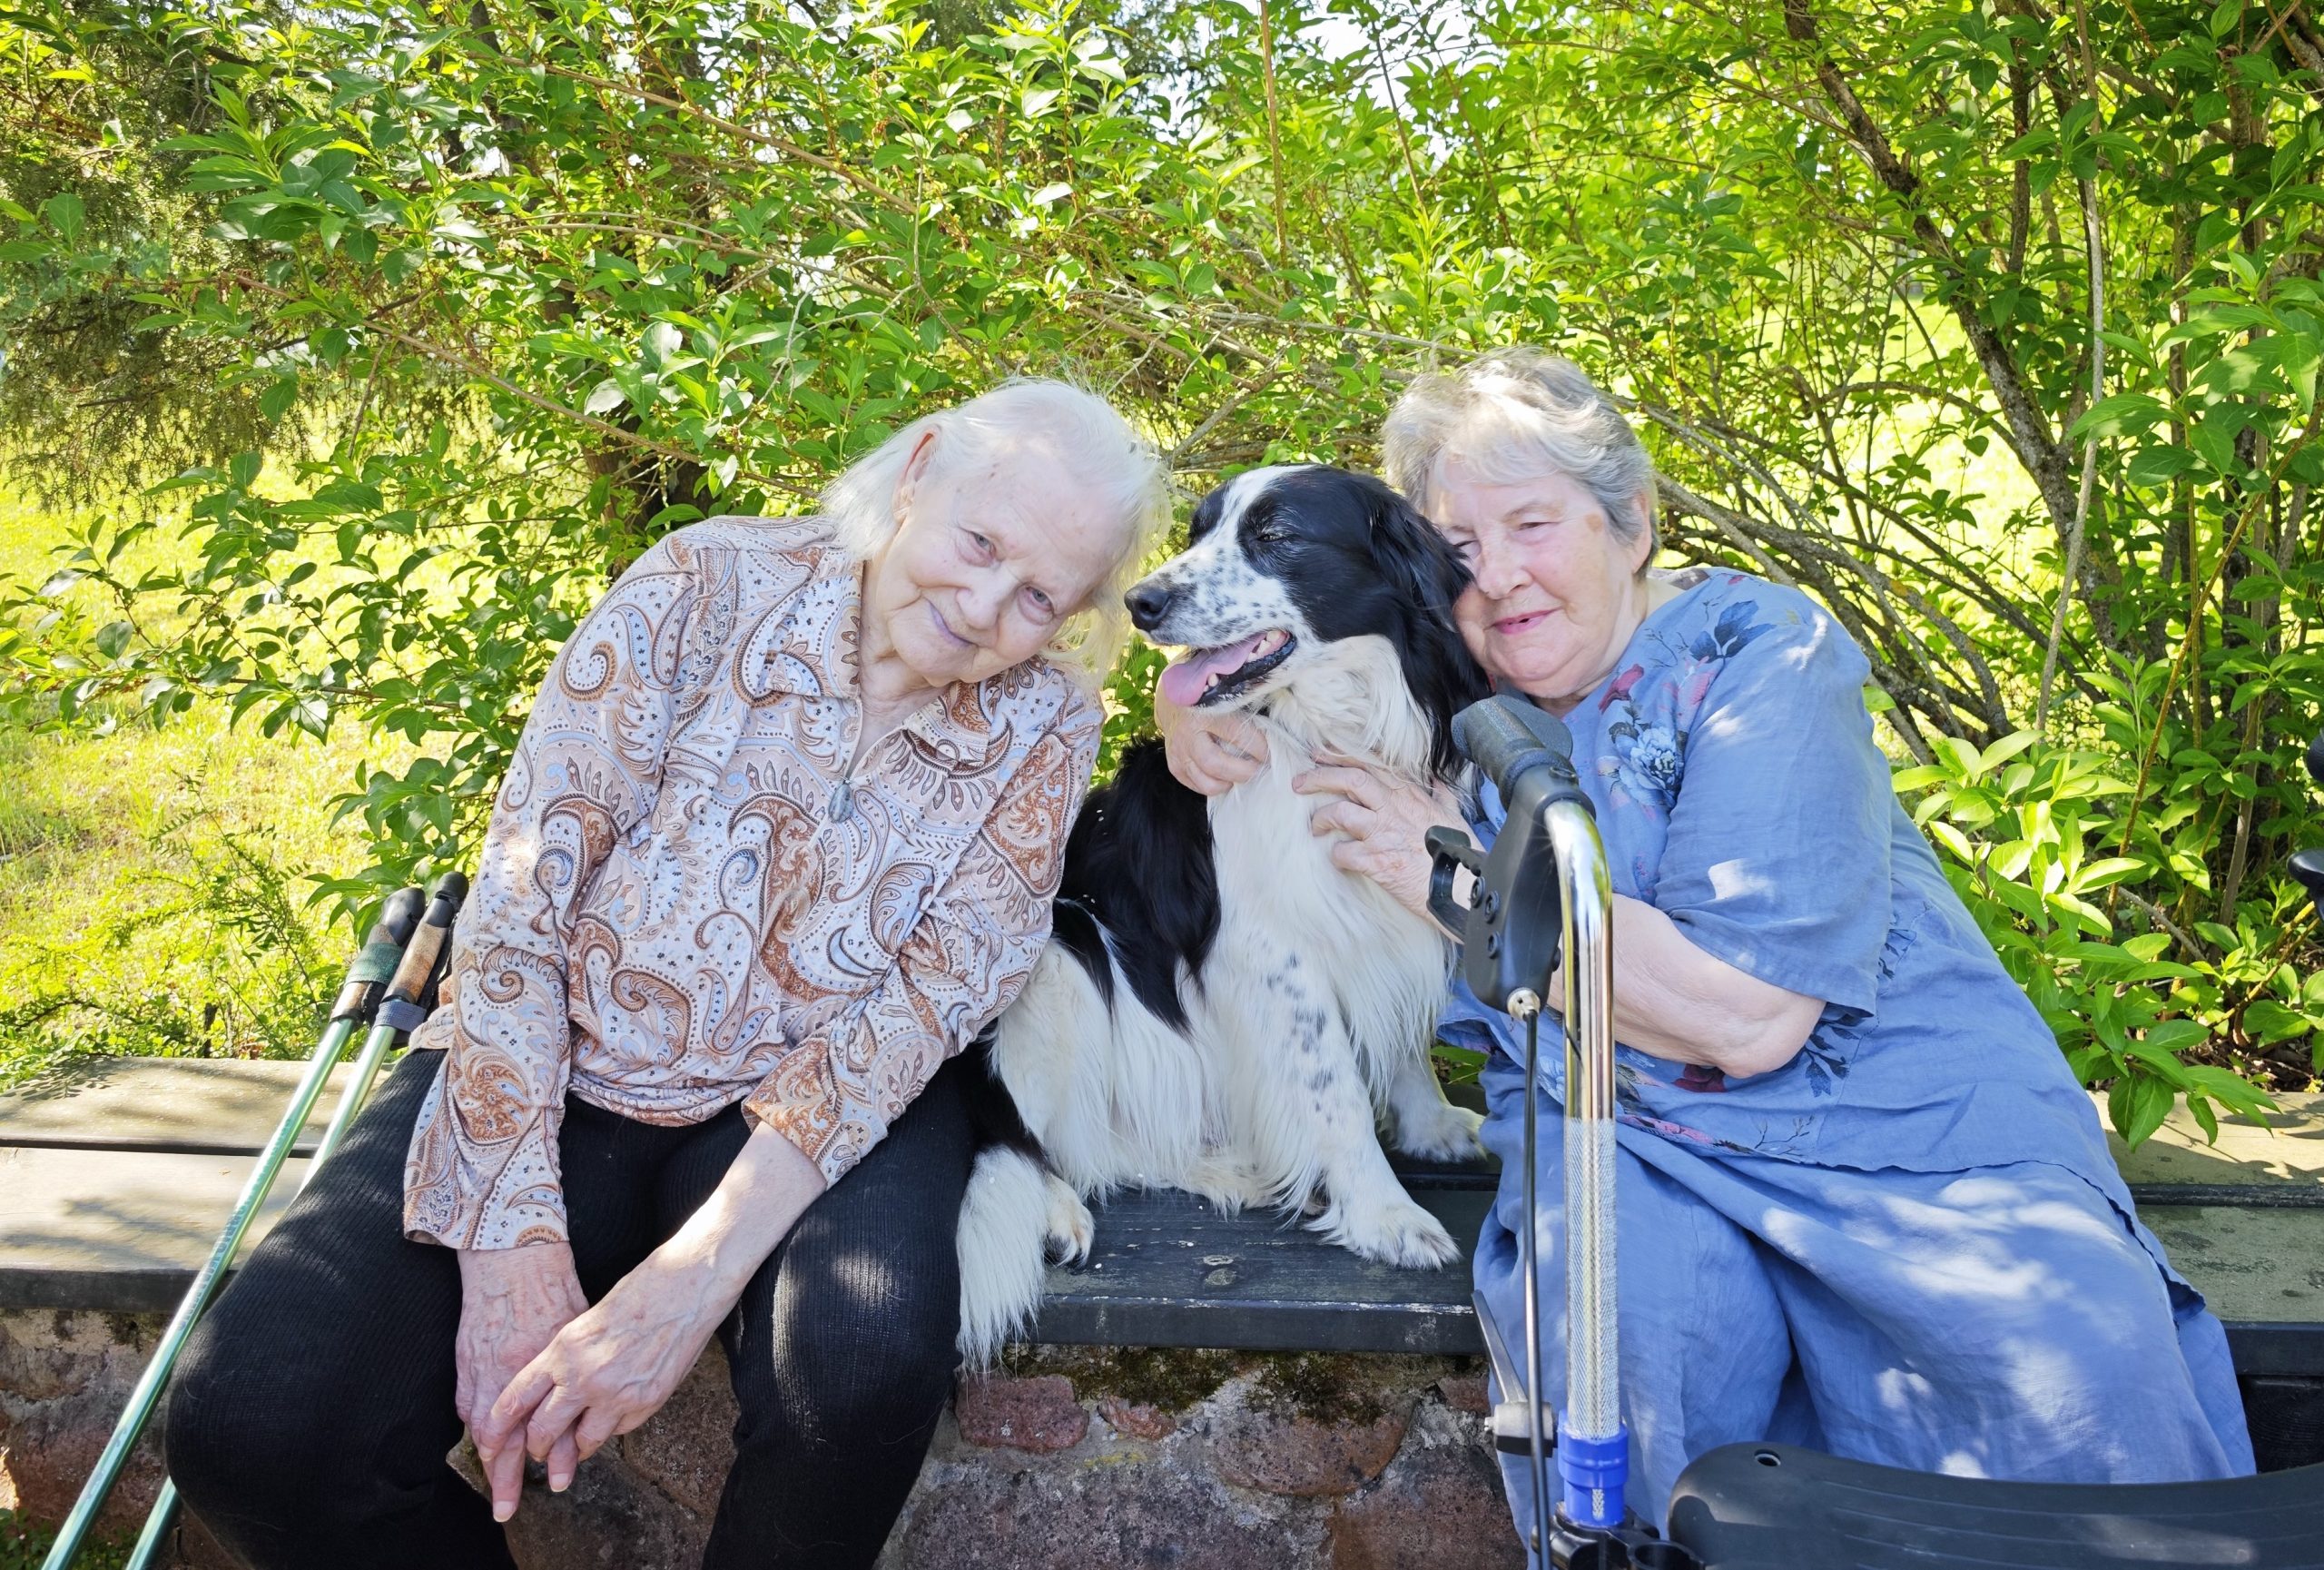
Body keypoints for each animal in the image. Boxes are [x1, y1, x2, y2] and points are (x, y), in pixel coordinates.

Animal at [956, 465, 1492, 1363]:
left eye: (1275, 536)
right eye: (1200, 531)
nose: (1142, 600)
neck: (1333, 724)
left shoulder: (1395, 904)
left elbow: (1401, 1038)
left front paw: (1430, 1126)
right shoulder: (1275, 952)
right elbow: (1336, 1091)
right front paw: (1385, 1213)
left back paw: (1224, 1165)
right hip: (1063, 947)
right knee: (1043, 1136)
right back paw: (1064, 1209)